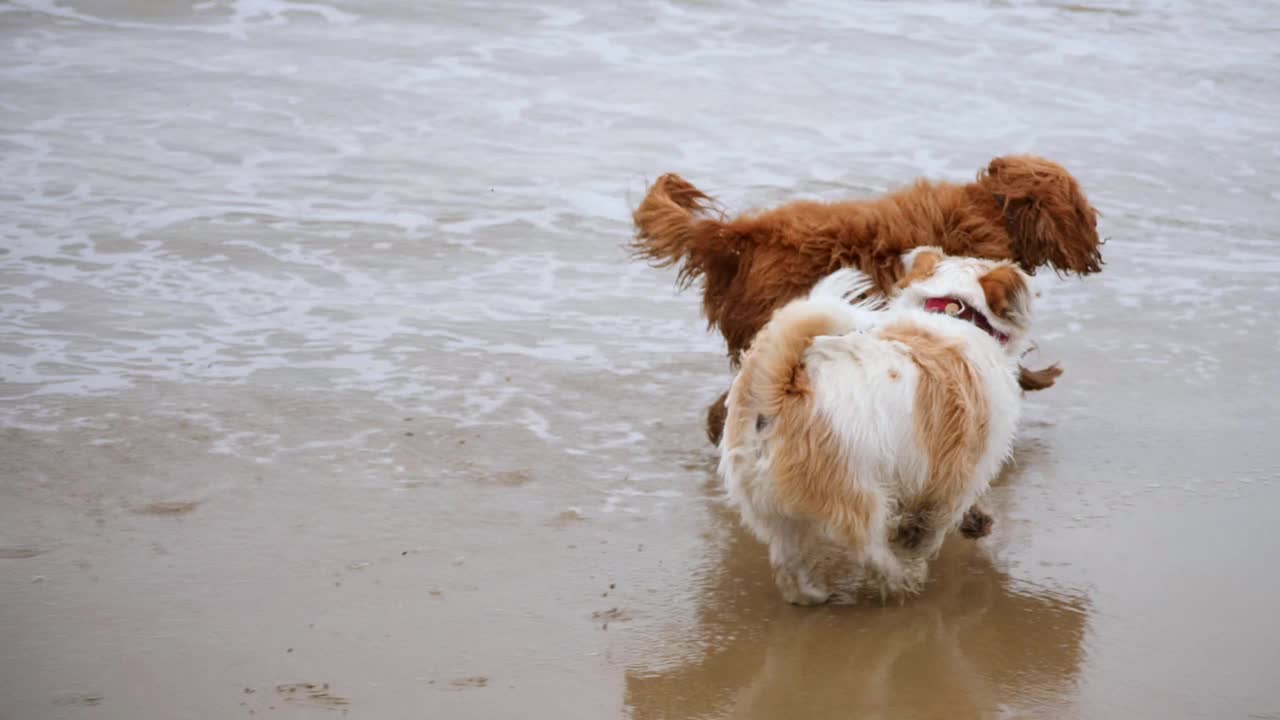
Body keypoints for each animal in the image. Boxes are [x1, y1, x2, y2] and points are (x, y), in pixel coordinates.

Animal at [716, 244, 1034, 599]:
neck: (954, 312)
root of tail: (776, 391)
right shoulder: (960, 472)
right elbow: (932, 524)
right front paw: (918, 545)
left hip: (772, 507)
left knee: (787, 560)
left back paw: (811, 594)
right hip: (857, 495)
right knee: (870, 551)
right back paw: (902, 578)